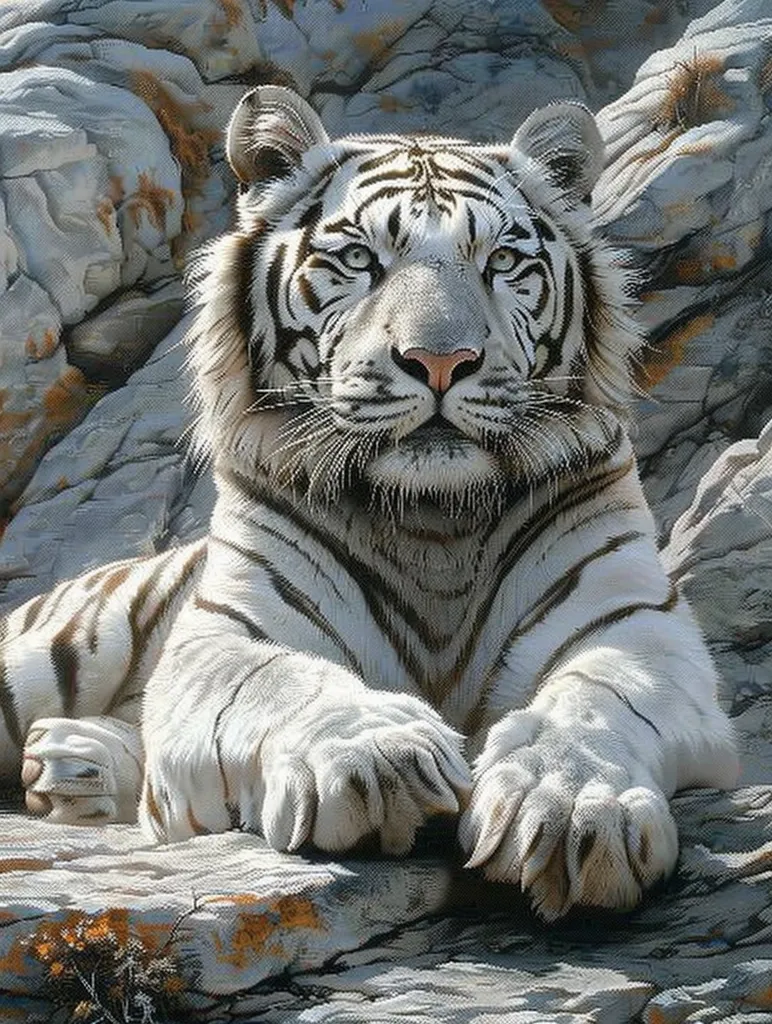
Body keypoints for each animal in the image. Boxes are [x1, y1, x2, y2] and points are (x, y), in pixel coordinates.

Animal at [0, 86, 737, 921]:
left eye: (502, 262)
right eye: (358, 260)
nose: (442, 361)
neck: (434, 518)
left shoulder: (640, 627)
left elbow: (598, 698)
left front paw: (572, 806)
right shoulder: (224, 639)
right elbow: (280, 681)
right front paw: (375, 756)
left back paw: (75, 765)